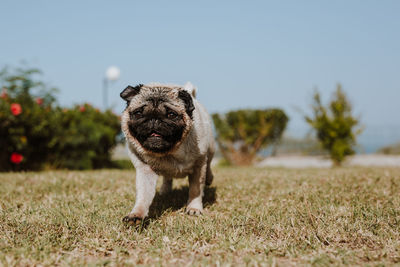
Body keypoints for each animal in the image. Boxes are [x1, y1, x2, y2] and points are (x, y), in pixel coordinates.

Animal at [120, 82, 216, 226]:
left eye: (171, 114)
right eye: (138, 113)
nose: (154, 119)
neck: (168, 153)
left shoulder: (199, 165)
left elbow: (195, 189)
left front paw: (194, 208)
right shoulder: (145, 171)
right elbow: (143, 196)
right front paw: (136, 215)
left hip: (210, 149)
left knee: (208, 163)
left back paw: (209, 178)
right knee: (167, 177)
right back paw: (165, 189)